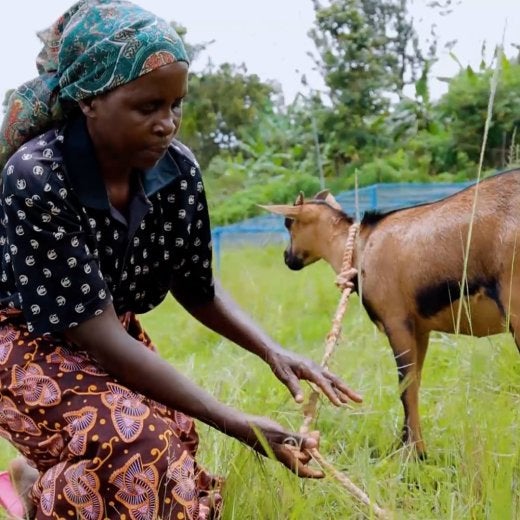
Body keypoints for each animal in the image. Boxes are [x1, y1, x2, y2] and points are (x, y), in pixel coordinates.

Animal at [260, 169, 520, 458]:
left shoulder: (396, 320)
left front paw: (414, 453)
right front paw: (407, 445)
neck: (360, 248)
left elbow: (406, 387)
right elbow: (415, 381)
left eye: (288, 223)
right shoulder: (420, 328)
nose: (288, 258)